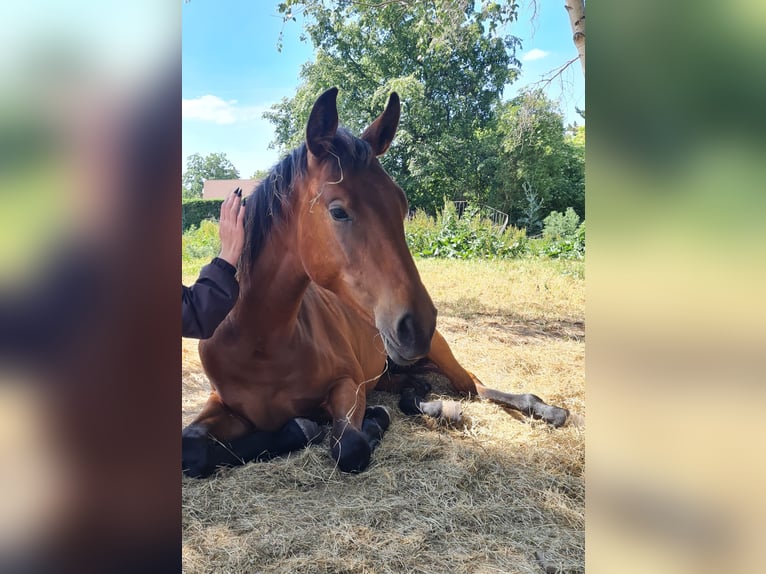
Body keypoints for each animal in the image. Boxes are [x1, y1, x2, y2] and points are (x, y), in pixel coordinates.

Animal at [183, 88, 572, 480]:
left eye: (401, 204)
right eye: (338, 211)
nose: (417, 324)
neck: (260, 343)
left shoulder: (349, 385)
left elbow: (349, 446)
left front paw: (367, 420)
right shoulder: (223, 405)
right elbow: (193, 448)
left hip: (440, 353)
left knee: (473, 386)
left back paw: (545, 410)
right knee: (416, 389)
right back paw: (434, 406)